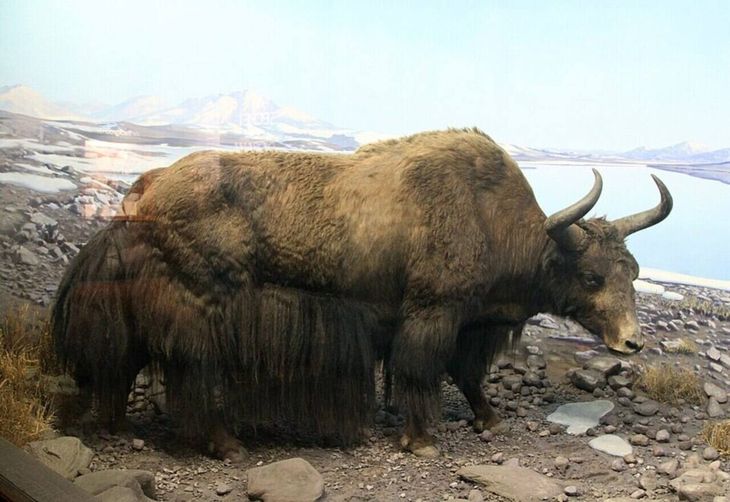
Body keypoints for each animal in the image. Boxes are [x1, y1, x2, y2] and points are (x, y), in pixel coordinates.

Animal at [52, 128, 672, 458]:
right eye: (592, 277)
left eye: (634, 270)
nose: (632, 344)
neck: (491, 221)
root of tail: (142, 192)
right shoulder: (432, 312)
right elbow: (422, 370)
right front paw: (421, 441)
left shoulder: (469, 323)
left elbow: (468, 374)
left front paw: (489, 420)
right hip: (200, 307)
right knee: (196, 375)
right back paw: (226, 444)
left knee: (125, 364)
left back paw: (115, 426)